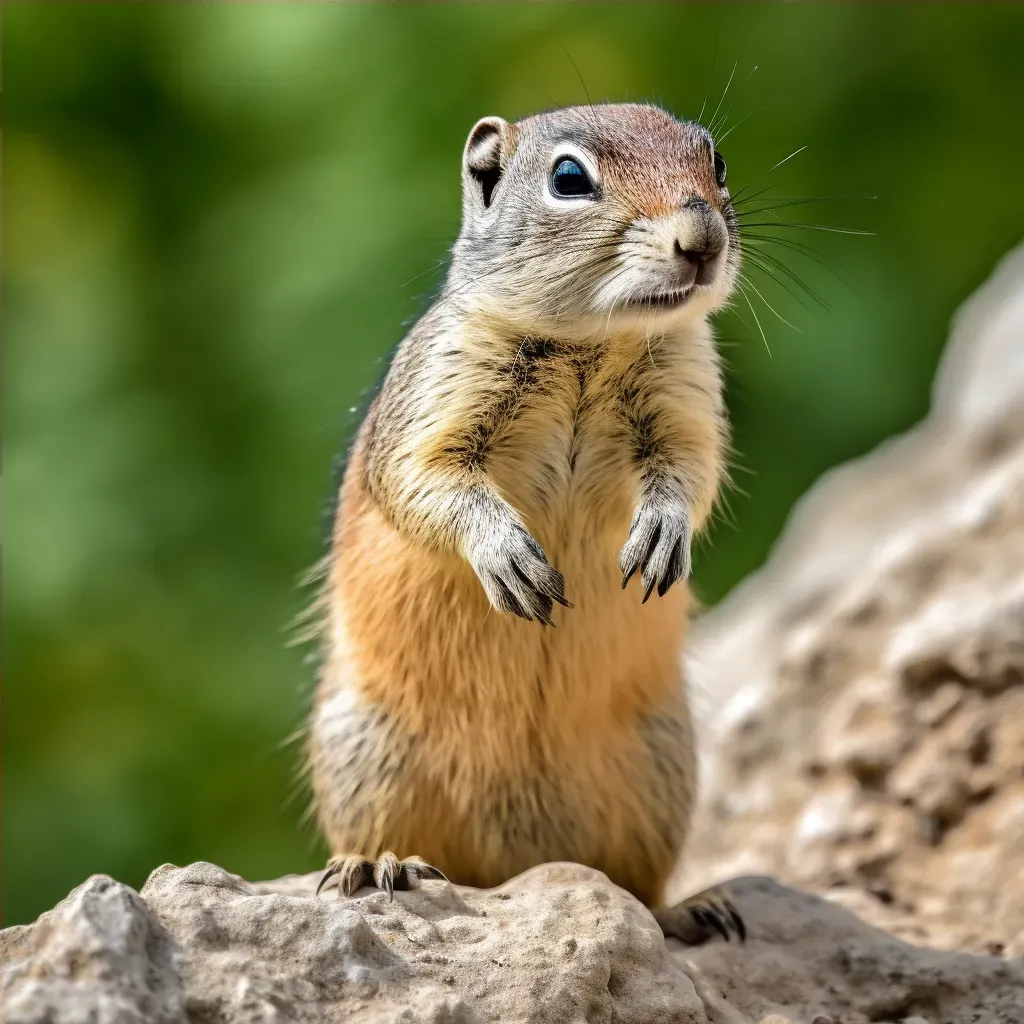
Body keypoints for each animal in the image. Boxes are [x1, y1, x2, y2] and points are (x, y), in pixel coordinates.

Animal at [309, 103, 745, 942]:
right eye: (569, 178)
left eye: (716, 161)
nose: (702, 237)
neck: (590, 347)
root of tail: (515, 865)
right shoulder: (437, 397)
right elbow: (428, 484)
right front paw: (507, 555)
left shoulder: (687, 397)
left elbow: (692, 472)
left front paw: (662, 532)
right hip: (366, 755)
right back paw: (379, 867)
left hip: (660, 767)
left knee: (636, 883)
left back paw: (689, 911)